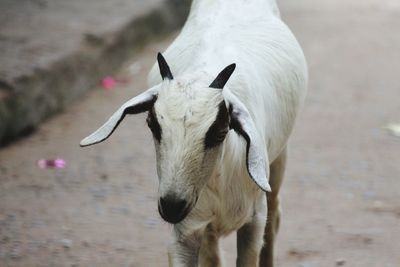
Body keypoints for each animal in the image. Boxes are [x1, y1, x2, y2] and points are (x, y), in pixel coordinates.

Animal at [80, 1, 306, 266]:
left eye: (220, 132)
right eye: (152, 125)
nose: (171, 206)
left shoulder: (253, 219)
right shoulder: (186, 230)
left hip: (278, 161)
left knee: (274, 216)